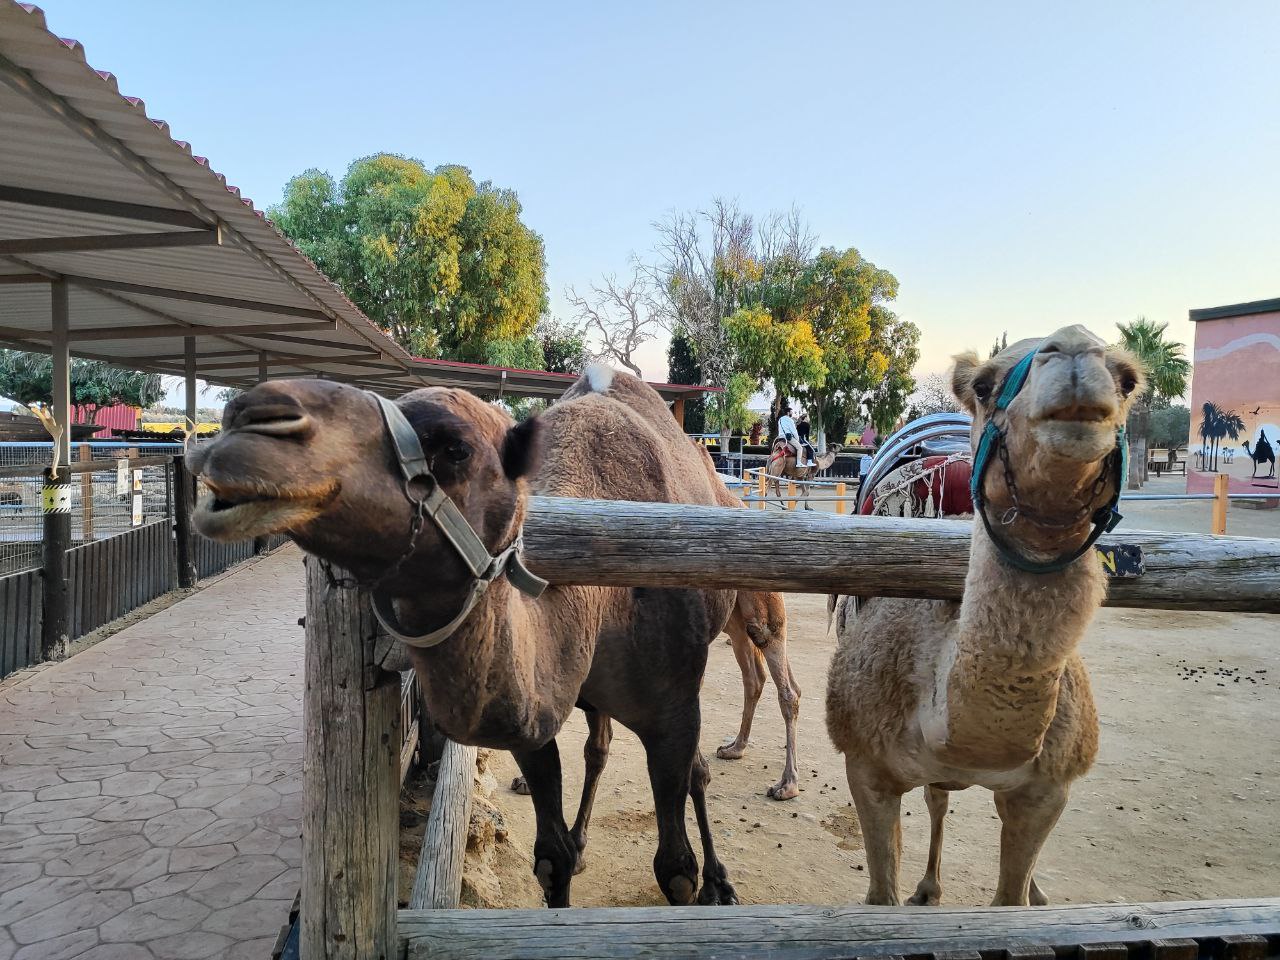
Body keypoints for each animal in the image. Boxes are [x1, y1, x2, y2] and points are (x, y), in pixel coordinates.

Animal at [194, 366, 747, 911]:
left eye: (455, 448)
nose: (247, 419)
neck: (602, 599)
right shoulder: (536, 723)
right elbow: (551, 859)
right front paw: (567, 855)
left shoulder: (672, 710)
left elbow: (675, 871)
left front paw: (704, 880)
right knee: (599, 747)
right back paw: (585, 838)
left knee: (693, 771)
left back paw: (719, 881)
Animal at [824, 327, 1146, 906]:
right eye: (982, 385)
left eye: (1128, 380)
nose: (1072, 350)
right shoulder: (864, 765)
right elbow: (881, 896)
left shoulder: (1048, 788)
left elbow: (1008, 900)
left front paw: (1028, 892)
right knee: (937, 797)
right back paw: (928, 887)